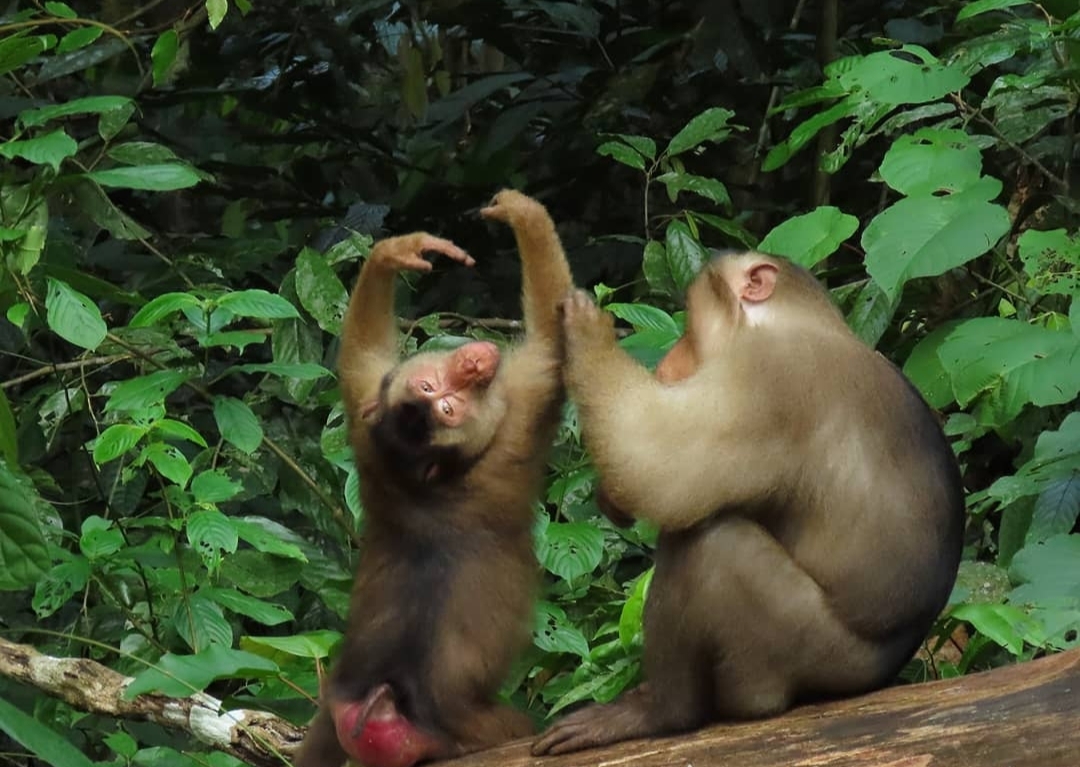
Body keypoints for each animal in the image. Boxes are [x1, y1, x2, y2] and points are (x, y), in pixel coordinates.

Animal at [295, 191, 578, 767]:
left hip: (339, 704)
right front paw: (524, 213)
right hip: (478, 732)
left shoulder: (369, 419)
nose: (471, 366)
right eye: (445, 404)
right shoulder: (514, 415)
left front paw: (393, 254)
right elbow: (549, 343)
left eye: (432, 387)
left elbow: (358, 356)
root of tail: (379, 704)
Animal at [535, 250, 967, 756]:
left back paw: (664, 710)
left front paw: (585, 330)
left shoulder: (769, 372)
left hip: (799, 649)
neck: (801, 324)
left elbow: (659, 472)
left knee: (710, 544)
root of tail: (878, 672)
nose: (666, 363)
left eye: (688, 326)